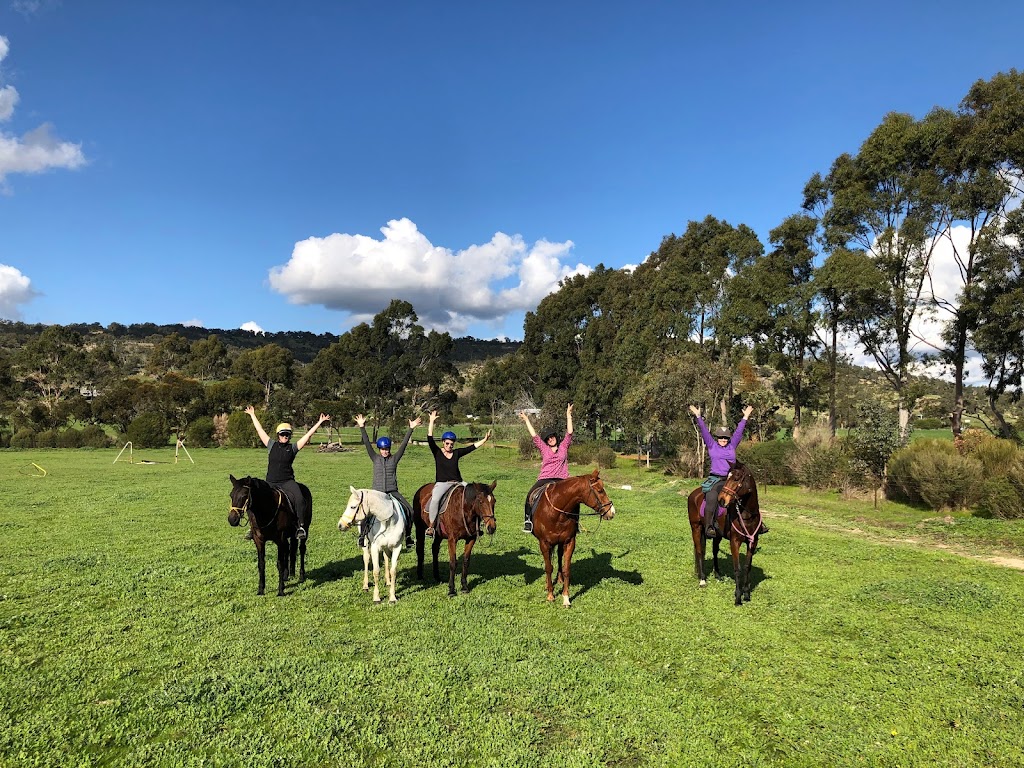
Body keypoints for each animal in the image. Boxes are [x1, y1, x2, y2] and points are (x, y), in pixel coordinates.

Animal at [528, 468, 614, 606]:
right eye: (600, 490)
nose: (612, 512)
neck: (557, 513)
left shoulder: (569, 542)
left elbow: (566, 569)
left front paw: (566, 598)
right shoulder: (544, 543)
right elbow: (548, 568)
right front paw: (550, 595)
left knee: (558, 558)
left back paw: (560, 580)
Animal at [688, 462, 761, 606]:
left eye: (737, 478)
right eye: (729, 477)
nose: (721, 500)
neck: (747, 516)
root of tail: (694, 494)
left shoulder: (752, 542)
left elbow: (747, 567)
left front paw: (746, 594)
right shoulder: (735, 542)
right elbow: (737, 568)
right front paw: (737, 597)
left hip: (717, 534)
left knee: (714, 551)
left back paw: (717, 574)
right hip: (696, 528)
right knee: (699, 551)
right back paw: (702, 579)